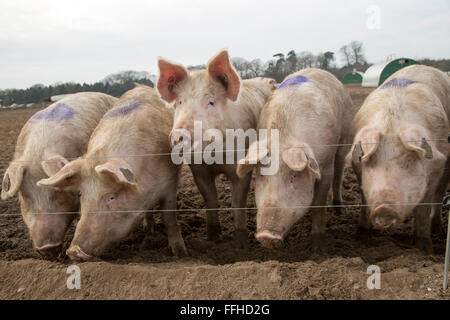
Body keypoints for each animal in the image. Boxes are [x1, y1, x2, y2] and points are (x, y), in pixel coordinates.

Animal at [37, 85, 187, 260]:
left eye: (111, 197)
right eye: (81, 194)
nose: (73, 251)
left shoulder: (170, 183)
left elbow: (170, 218)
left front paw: (181, 254)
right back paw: (149, 230)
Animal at [156, 50, 276, 248]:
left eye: (211, 102)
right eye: (180, 102)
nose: (179, 134)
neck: (215, 156)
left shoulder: (240, 167)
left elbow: (237, 203)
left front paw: (242, 245)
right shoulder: (198, 170)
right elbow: (211, 200)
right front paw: (212, 238)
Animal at [236, 69, 356, 251]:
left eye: (294, 175)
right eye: (261, 175)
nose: (266, 235)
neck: (284, 137)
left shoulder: (326, 165)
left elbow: (319, 205)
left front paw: (319, 249)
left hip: (345, 137)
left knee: (339, 171)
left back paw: (338, 210)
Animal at [346, 64, 448, 252]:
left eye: (408, 160)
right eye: (371, 160)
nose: (384, 209)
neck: (392, 122)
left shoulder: (438, 165)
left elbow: (423, 208)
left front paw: (425, 249)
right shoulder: (357, 165)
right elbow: (363, 198)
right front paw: (362, 236)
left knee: (440, 192)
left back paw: (437, 230)